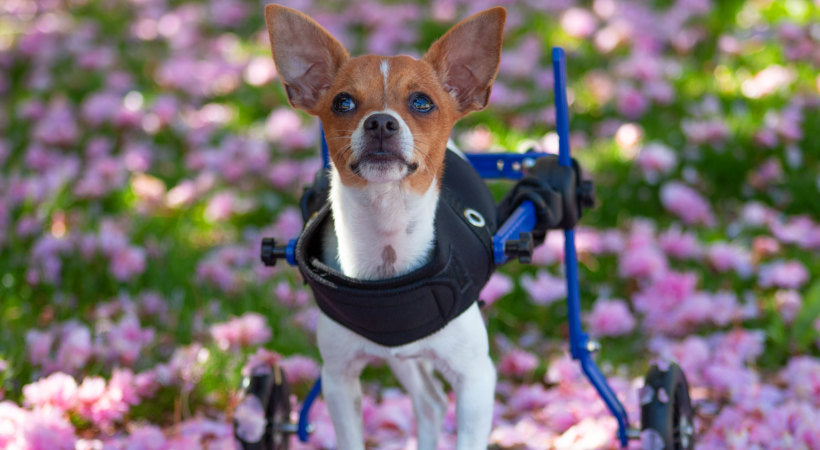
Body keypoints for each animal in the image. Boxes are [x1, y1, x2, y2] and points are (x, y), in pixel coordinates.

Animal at [266, 5, 502, 448]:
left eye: (422, 102)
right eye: (343, 102)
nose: (379, 122)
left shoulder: (476, 380)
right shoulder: (338, 379)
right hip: (402, 361)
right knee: (429, 402)